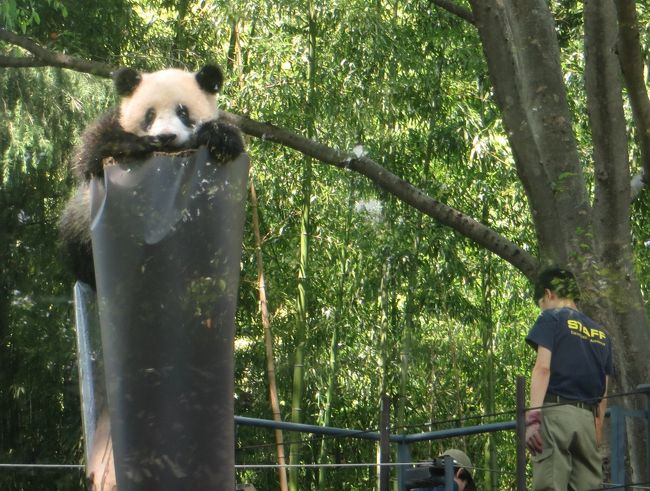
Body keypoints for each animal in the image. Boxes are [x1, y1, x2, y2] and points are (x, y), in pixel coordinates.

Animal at [58, 65, 243, 288]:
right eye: (150, 115)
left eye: (183, 112)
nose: (166, 136)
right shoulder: (112, 126)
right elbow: (89, 154)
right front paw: (134, 145)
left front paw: (218, 138)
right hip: (84, 222)